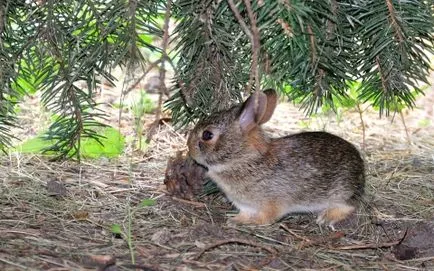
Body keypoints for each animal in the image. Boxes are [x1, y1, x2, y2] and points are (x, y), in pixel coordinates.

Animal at [187, 90, 366, 230]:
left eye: (207, 135)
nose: (189, 148)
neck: (243, 159)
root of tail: (361, 169)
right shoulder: (245, 206)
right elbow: (244, 213)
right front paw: (236, 220)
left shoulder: (271, 203)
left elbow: (266, 217)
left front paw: (250, 223)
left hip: (342, 192)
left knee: (349, 206)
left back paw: (326, 217)